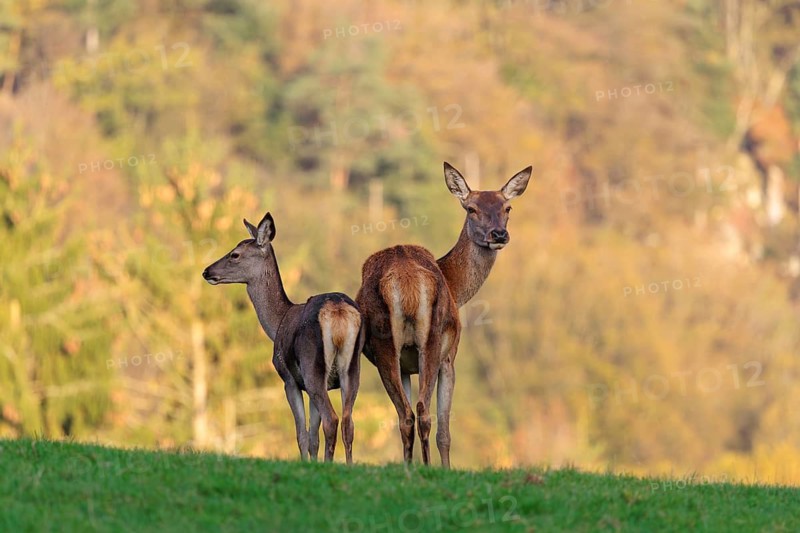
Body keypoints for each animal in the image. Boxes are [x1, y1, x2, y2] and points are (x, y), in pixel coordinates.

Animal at [203, 212, 365, 463]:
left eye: (235, 254)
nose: (207, 271)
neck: (277, 322)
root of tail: (337, 310)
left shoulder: (289, 379)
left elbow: (302, 435)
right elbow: (313, 437)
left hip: (312, 366)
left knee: (332, 419)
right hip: (352, 368)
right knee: (349, 422)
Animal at [356, 162, 531, 467]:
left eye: (507, 207)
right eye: (471, 208)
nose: (498, 234)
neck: (455, 286)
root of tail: (406, 279)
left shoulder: (406, 365)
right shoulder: (450, 356)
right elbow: (445, 432)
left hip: (389, 349)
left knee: (406, 415)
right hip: (431, 341)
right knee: (424, 412)